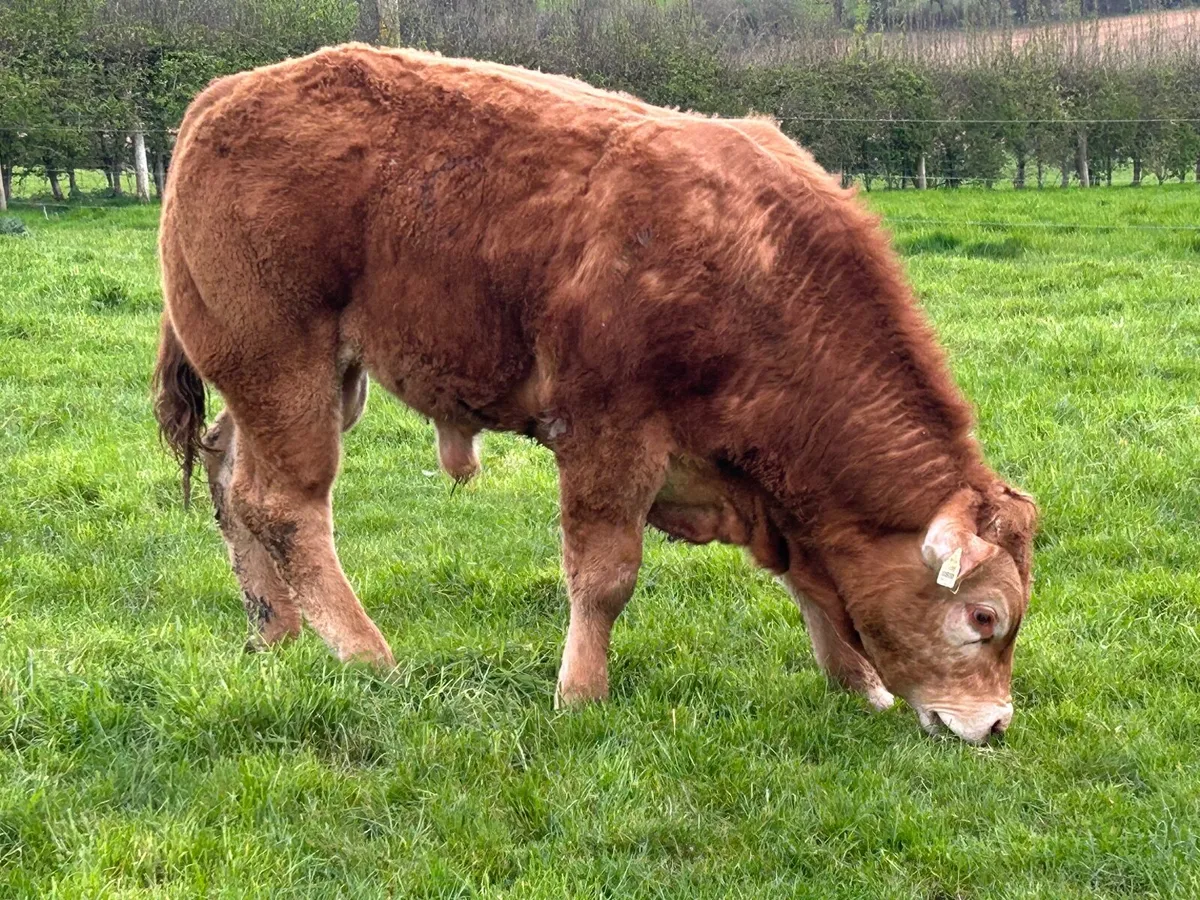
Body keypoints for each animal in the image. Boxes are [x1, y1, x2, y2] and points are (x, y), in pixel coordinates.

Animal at [153, 44, 1037, 744]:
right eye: (984, 617)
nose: (994, 724)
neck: (758, 270)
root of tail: (224, 94)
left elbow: (812, 580)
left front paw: (859, 683)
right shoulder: (608, 437)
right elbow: (605, 575)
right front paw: (580, 693)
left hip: (308, 382)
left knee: (231, 479)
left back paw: (276, 633)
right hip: (283, 368)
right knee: (285, 506)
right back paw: (368, 653)